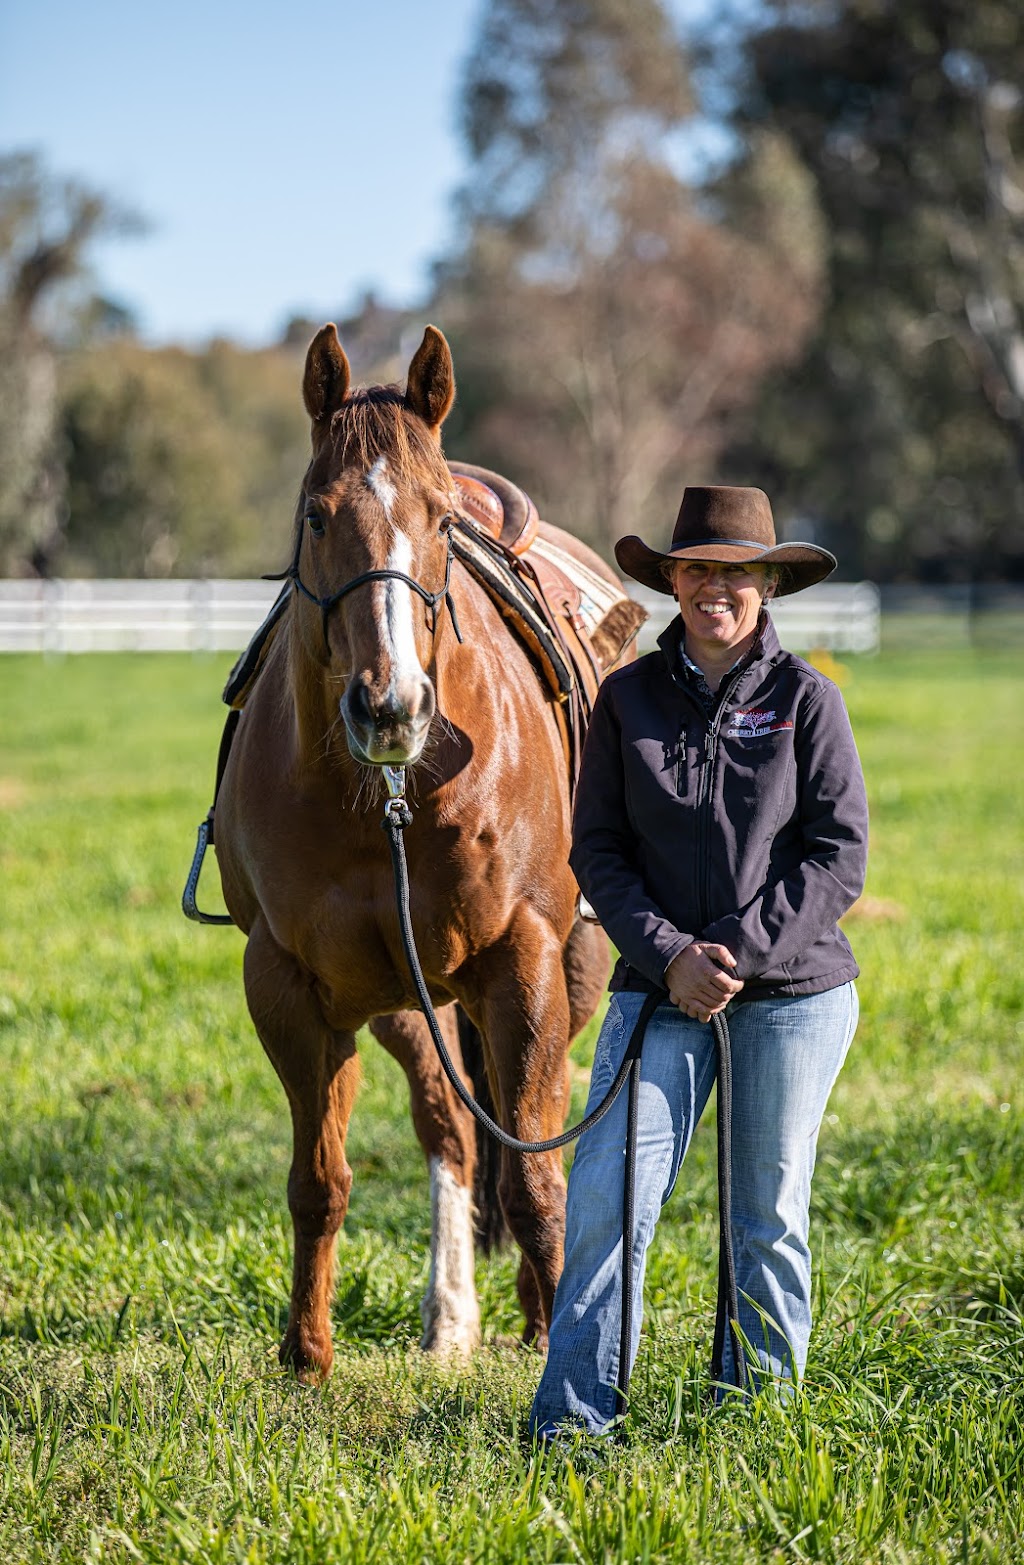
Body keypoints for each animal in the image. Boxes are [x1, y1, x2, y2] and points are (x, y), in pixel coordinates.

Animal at [216, 327, 632, 1383]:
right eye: (315, 516)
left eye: (440, 521)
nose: (391, 704)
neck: (389, 802)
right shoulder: (291, 989)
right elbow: (319, 1180)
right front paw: (307, 1356)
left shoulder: (523, 965)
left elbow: (536, 1176)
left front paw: (560, 1351)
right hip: (413, 1000)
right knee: (451, 1128)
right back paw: (451, 1318)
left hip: (564, 974)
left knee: (528, 1137)